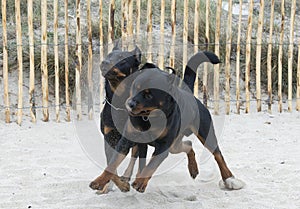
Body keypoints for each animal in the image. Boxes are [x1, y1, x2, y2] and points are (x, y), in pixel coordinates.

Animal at [89, 50, 244, 193]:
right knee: (188, 144)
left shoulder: (163, 146)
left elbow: (150, 165)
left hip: (205, 133)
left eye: (149, 95)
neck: (150, 118)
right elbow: (112, 164)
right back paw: (193, 168)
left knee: (217, 154)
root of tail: (189, 93)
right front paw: (99, 181)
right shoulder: (126, 140)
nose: (130, 104)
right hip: (175, 144)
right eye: (135, 87)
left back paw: (229, 179)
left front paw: (140, 183)